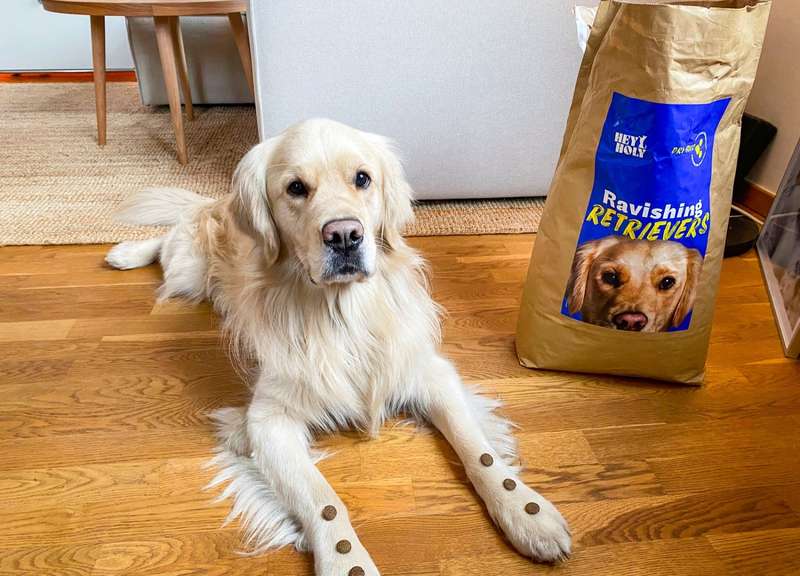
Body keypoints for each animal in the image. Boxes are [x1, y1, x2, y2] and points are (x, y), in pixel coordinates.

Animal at [108, 119, 568, 572]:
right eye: (295, 187)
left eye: (362, 178)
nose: (344, 235)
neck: (343, 315)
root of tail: (214, 202)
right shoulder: (267, 419)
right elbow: (323, 499)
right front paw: (346, 562)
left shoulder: (428, 372)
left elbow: (481, 453)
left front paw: (527, 513)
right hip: (189, 272)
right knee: (165, 242)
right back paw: (125, 252)